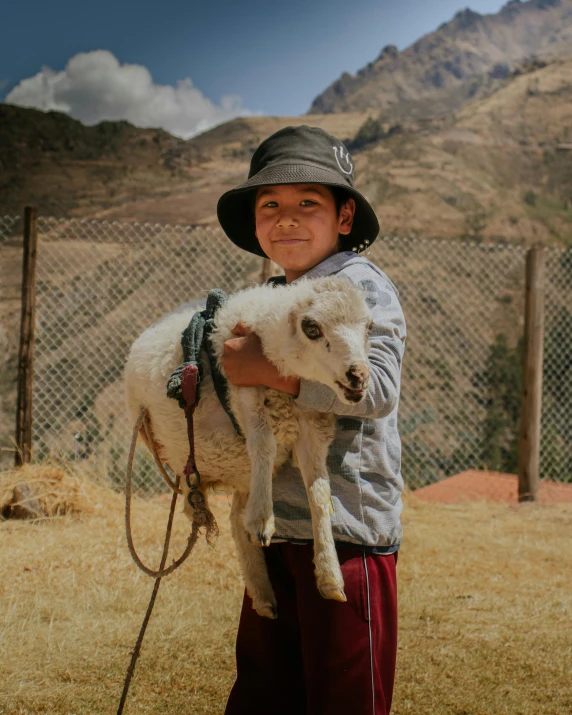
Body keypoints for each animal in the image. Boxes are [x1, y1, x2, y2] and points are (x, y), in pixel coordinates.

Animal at [124, 276, 370, 620]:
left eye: (369, 327)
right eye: (312, 328)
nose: (358, 375)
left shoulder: (313, 422)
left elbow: (320, 493)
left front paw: (330, 576)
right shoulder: (244, 391)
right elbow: (263, 444)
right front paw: (263, 521)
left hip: (238, 467)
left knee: (235, 518)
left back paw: (262, 593)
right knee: (196, 487)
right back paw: (206, 511)